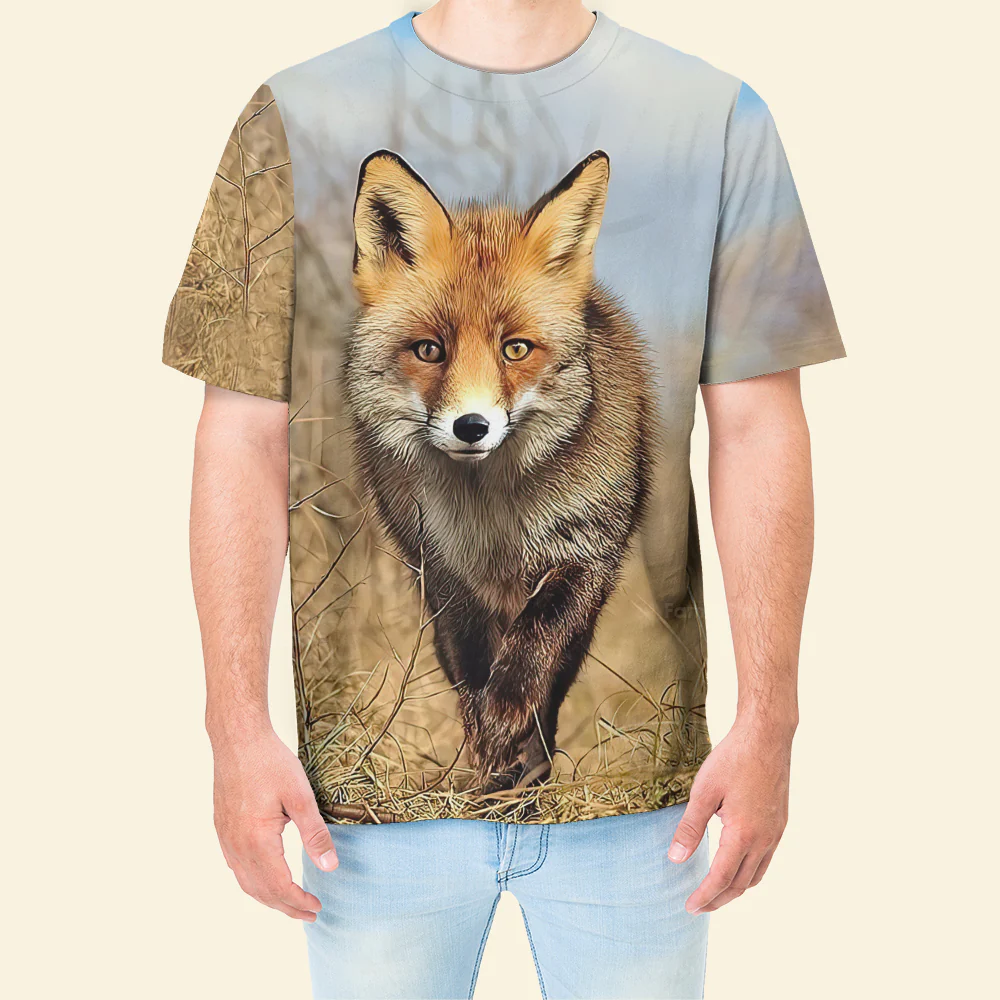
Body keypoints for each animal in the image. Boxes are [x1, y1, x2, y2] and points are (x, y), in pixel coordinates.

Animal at [343, 148, 656, 791]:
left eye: (515, 349)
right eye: (429, 350)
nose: (472, 426)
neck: (494, 520)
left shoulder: (583, 554)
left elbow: (533, 653)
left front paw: (509, 724)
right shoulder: (445, 573)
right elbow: (471, 672)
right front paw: (489, 759)